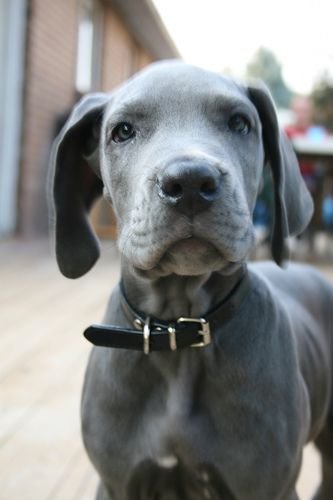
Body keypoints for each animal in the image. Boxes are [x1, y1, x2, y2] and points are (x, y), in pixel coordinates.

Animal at [49, 62, 332, 500]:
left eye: (239, 122)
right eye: (123, 131)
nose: (191, 183)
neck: (177, 334)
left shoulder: (270, 486)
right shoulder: (117, 484)